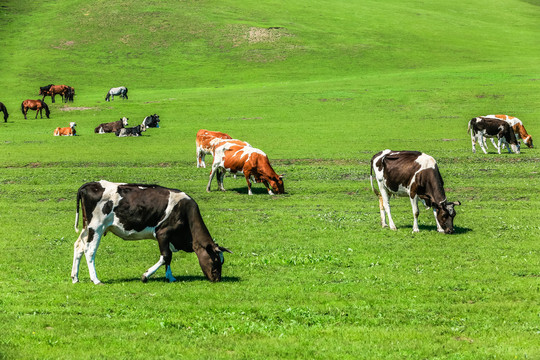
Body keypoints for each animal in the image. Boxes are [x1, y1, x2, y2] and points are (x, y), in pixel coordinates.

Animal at [70, 180, 231, 284]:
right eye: (215, 260)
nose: (217, 278)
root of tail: (91, 184)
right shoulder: (163, 233)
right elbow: (166, 256)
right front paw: (146, 275)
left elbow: (169, 258)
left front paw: (170, 277)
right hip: (96, 227)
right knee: (89, 250)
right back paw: (95, 279)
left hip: (87, 227)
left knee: (78, 246)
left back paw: (75, 277)